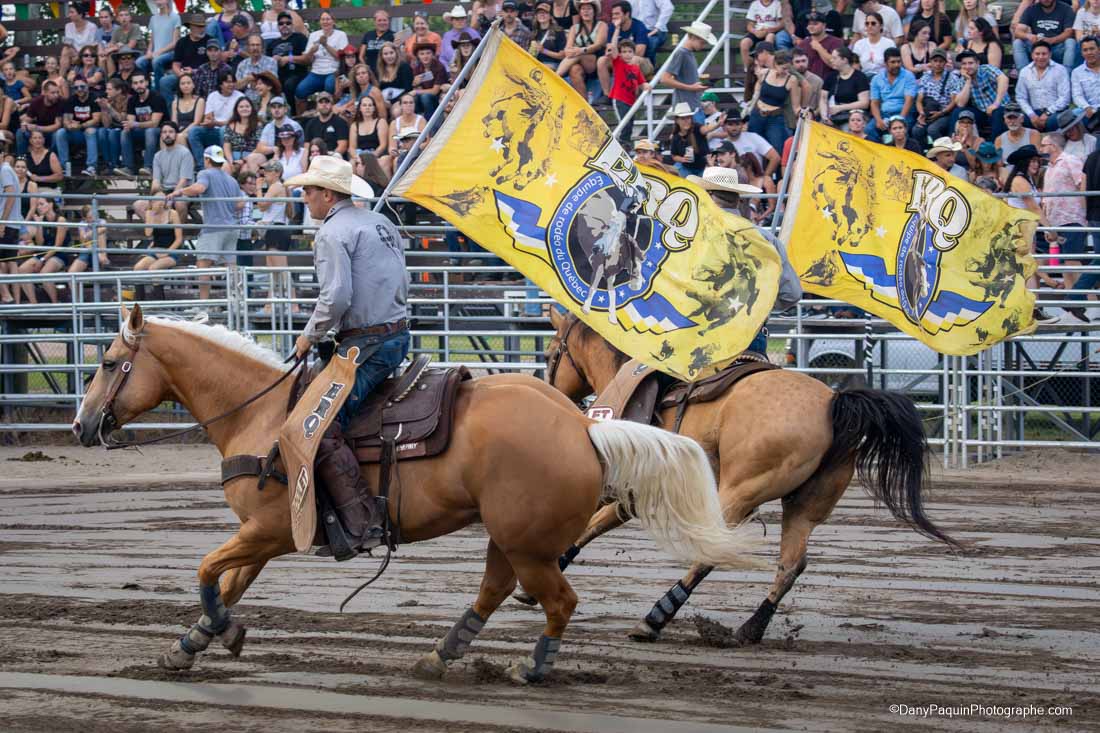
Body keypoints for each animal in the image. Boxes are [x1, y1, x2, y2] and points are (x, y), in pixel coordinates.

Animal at [73, 303, 761, 677]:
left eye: (107, 364)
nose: (81, 426)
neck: (264, 417)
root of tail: (584, 427)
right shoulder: (265, 535)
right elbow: (227, 581)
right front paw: (192, 644)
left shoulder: (269, 530)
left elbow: (206, 569)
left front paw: (216, 634)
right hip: (511, 537)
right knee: (495, 590)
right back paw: (441, 655)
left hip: (528, 543)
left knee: (558, 602)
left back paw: (530, 667)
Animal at [519, 310, 959, 642]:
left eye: (552, 352)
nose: (547, 387)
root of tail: (834, 402)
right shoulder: (637, 491)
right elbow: (594, 525)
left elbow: (589, 522)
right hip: (807, 504)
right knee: (791, 563)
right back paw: (750, 628)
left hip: (739, 493)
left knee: (711, 552)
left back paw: (655, 618)